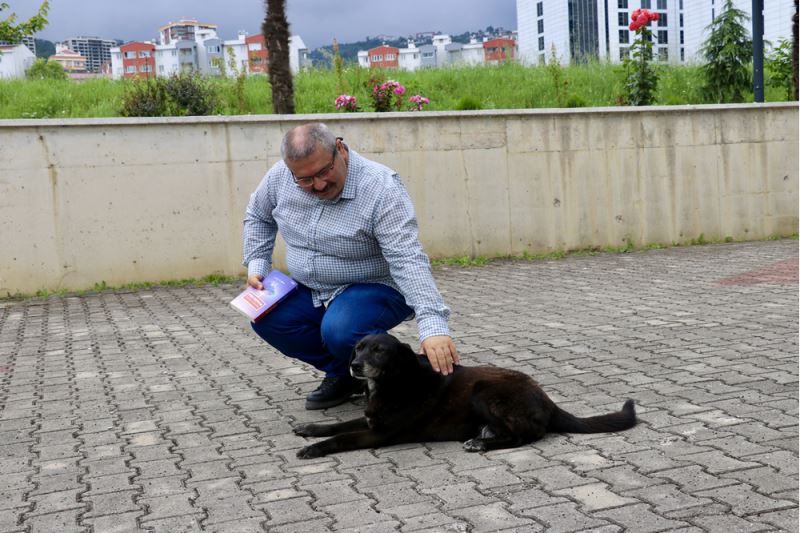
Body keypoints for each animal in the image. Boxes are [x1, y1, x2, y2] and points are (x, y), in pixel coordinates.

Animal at [294, 332, 636, 458]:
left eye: (380, 351)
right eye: (359, 348)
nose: (354, 366)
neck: (397, 381)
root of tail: (547, 399)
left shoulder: (379, 433)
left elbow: (342, 437)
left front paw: (314, 449)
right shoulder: (370, 420)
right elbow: (336, 425)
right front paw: (309, 429)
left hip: (483, 392)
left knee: (526, 435)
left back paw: (481, 444)